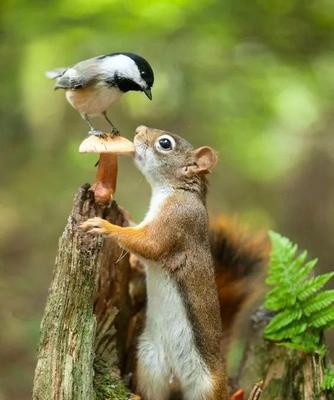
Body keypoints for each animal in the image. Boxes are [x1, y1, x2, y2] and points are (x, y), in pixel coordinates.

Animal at [81, 125, 268, 400]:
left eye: (165, 144)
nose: (138, 130)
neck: (175, 190)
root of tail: (177, 378)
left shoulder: (177, 222)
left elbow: (149, 245)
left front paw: (104, 226)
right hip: (150, 365)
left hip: (206, 388)